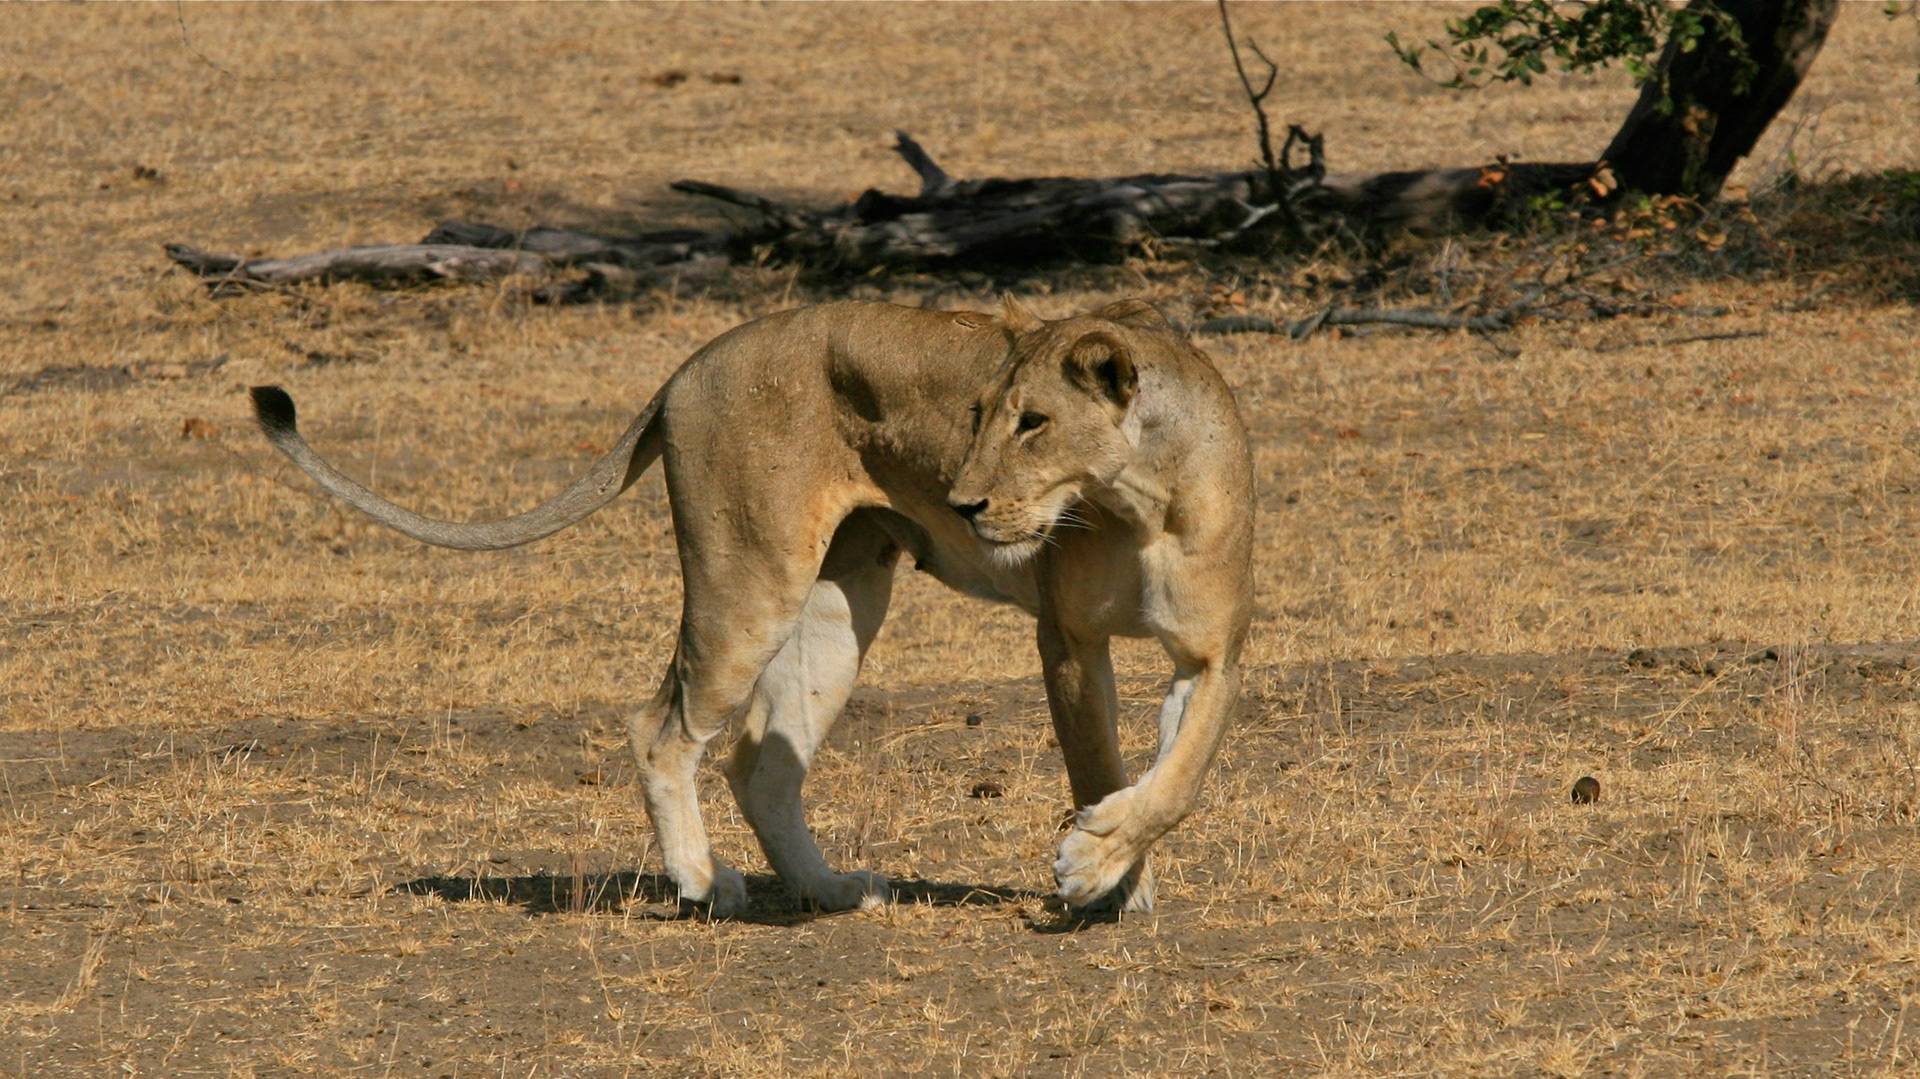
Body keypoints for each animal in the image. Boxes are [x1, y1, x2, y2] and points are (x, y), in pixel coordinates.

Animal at [250, 296, 1253, 916]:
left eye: (1034, 421)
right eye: (977, 415)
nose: (966, 503)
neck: (1138, 498)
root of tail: (690, 364)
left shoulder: (1210, 656)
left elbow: (1178, 776)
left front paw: (1111, 861)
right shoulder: (1067, 639)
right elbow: (1101, 767)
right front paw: (1100, 875)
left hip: (839, 601)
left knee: (759, 761)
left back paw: (830, 891)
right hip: (750, 578)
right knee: (659, 726)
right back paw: (703, 881)